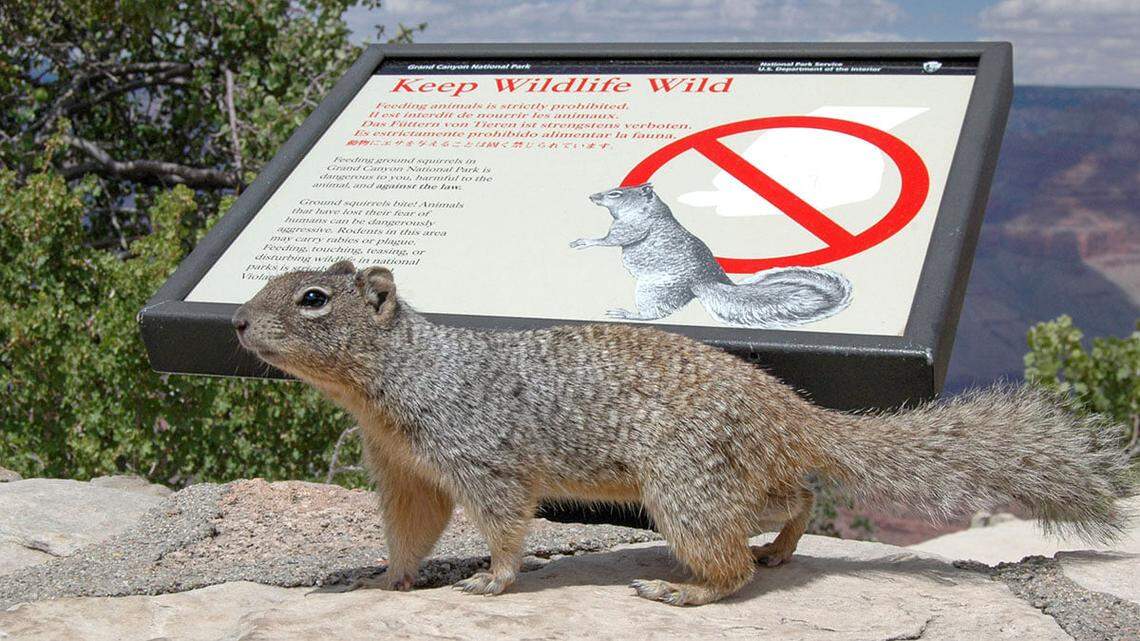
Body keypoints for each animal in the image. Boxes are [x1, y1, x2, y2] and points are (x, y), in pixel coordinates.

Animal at [232, 261, 1133, 606]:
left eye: (312, 298)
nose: (237, 321)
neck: (394, 379)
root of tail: (792, 408)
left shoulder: (479, 457)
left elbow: (504, 523)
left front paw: (491, 579)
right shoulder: (406, 469)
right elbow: (411, 531)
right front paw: (383, 577)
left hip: (684, 485)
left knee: (732, 562)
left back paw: (686, 588)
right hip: (726, 480)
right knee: (795, 497)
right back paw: (781, 547)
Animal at [571, 183, 853, 328]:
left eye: (615, 193)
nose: (591, 195)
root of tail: (704, 281)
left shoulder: (631, 227)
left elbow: (612, 239)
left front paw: (585, 241)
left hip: (653, 291)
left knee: (655, 313)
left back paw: (627, 314)